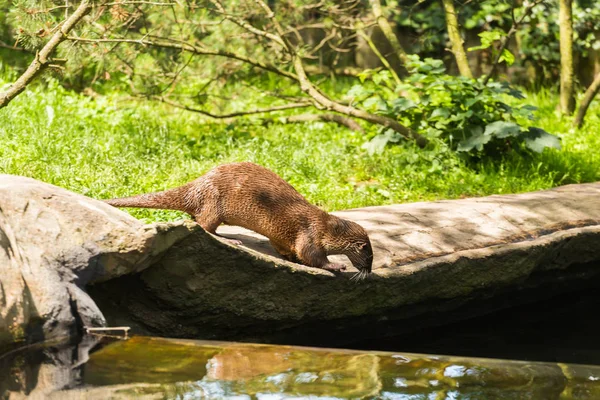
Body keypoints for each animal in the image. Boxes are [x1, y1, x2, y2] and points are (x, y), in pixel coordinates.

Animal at [105, 161, 372, 276]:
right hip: (213, 201)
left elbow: (288, 250)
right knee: (204, 224)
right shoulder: (311, 232)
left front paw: (290, 259)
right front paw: (336, 265)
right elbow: (312, 255)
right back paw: (231, 240)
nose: (368, 271)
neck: (326, 227)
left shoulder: (282, 236)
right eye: (369, 257)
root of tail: (197, 185)